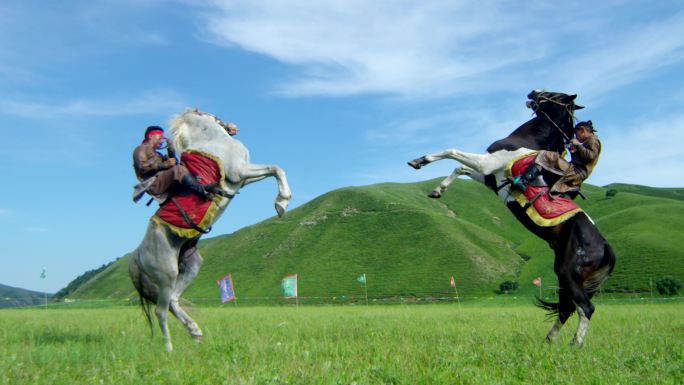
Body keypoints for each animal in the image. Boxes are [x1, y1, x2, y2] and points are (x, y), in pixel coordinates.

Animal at [129, 108, 292, 352]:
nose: (233, 127)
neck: (210, 139)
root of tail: (137, 256)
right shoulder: (240, 172)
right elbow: (276, 168)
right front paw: (282, 202)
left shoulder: (243, 178)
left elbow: (274, 169)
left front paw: (281, 201)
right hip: (167, 274)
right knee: (161, 311)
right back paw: (169, 349)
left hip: (190, 265)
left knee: (173, 302)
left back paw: (195, 332)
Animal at [408, 91, 616, 344]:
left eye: (553, 94)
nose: (532, 93)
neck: (528, 141)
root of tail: (605, 248)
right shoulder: (488, 174)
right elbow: (460, 169)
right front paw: (438, 190)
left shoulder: (486, 164)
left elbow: (453, 152)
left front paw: (419, 161)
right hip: (570, 278)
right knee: (567, 308)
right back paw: (549, 340)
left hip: (569, 274)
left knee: (585, 308)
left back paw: (574, 344)